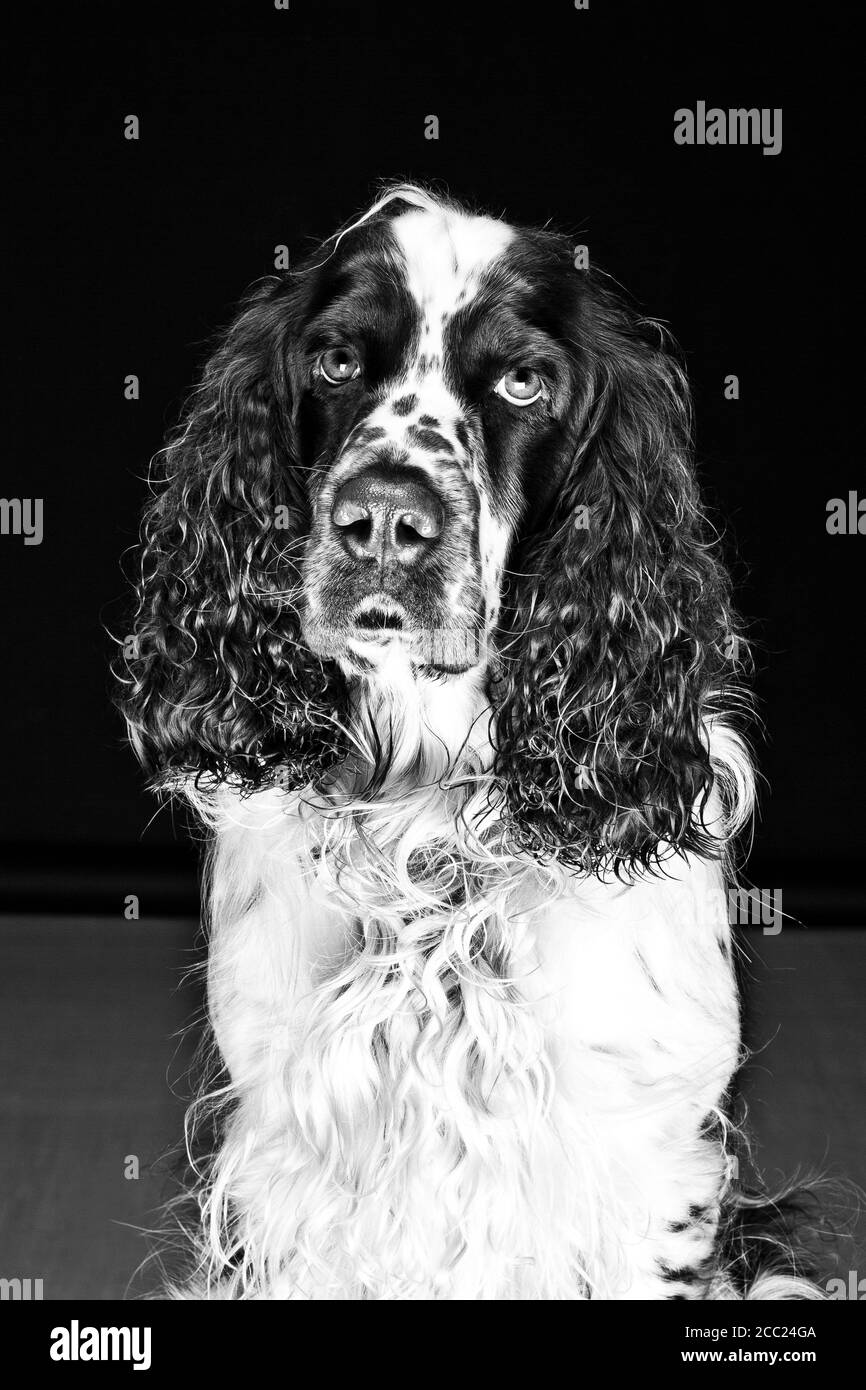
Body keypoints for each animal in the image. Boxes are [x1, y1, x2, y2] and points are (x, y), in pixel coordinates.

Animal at [116, 184, 828, 1301]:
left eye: (523, 382)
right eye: (335, 363)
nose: (383, 520)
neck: (428, 803)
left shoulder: (643, 1164)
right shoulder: (291, 1154)